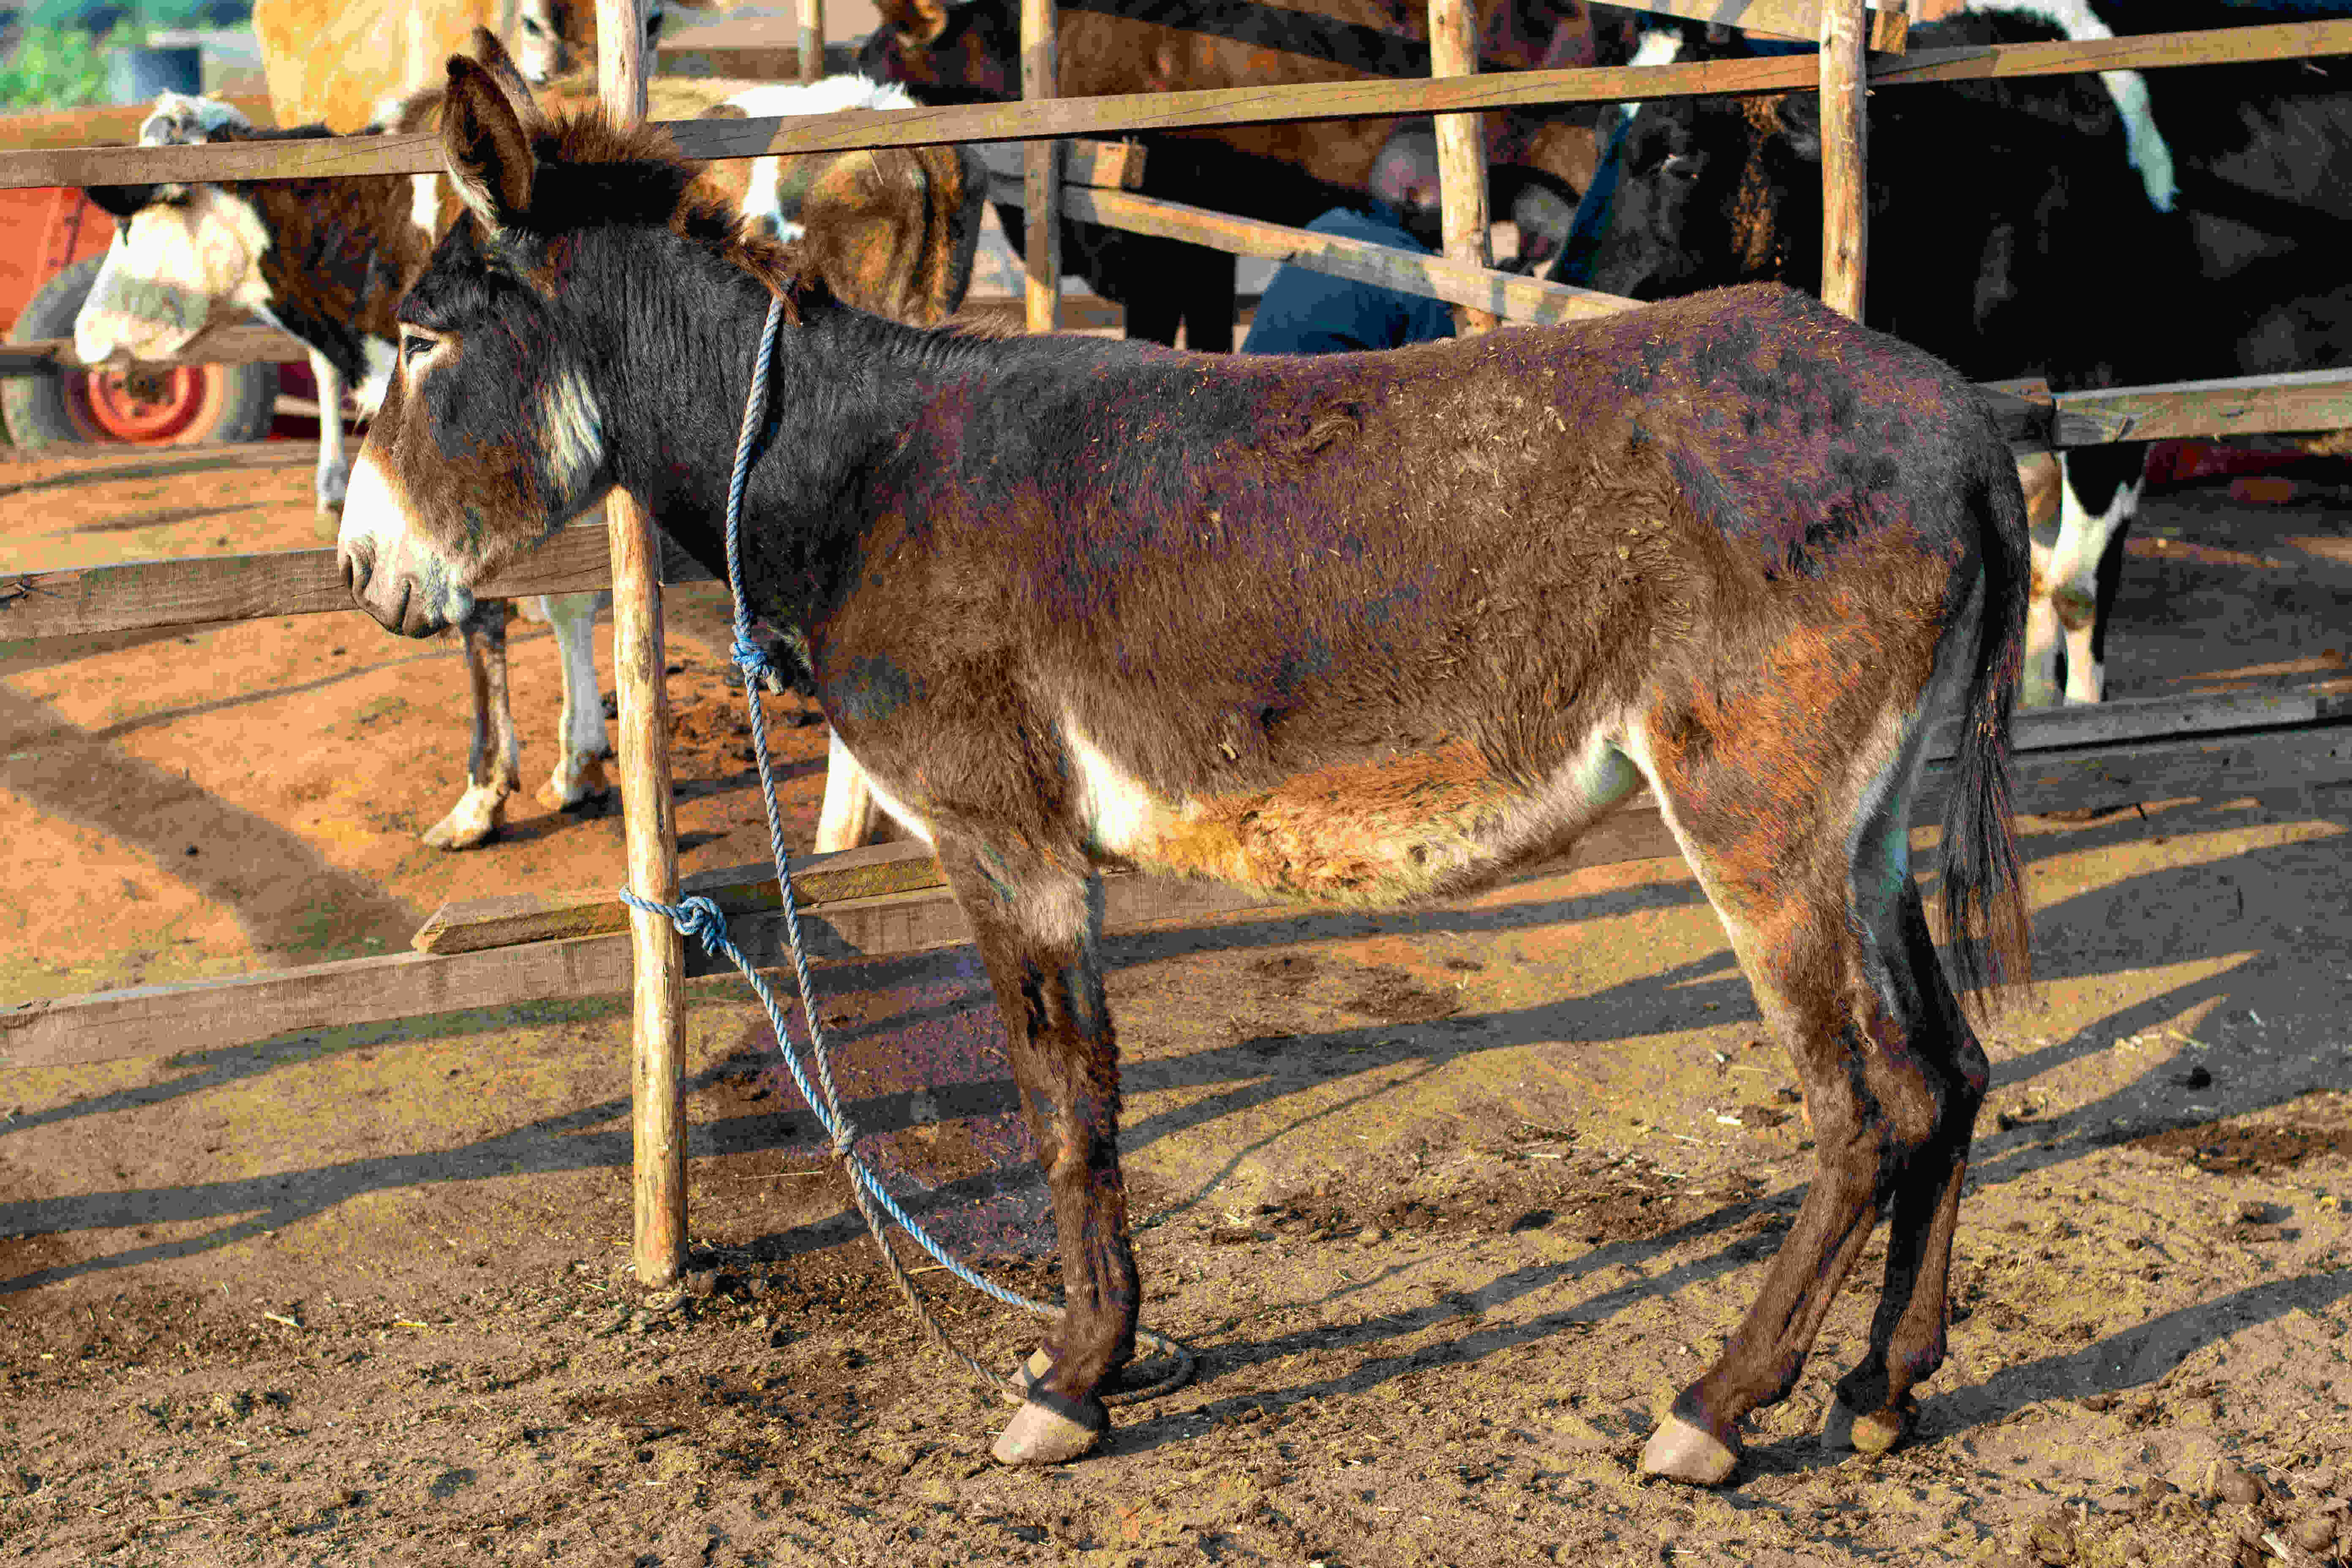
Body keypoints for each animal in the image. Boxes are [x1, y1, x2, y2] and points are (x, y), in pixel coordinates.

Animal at [336, 34, 2042, 1486]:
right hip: (1859, 821)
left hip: (1750, 808)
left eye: (417, 344)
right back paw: (1880, 1387)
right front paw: (1106, 1357)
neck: (842, 466)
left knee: (1862, 1104)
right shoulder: (1040, 849)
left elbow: (1060, 1100)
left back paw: (1715, 1407)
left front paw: (1068, 1381)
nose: (362, 577)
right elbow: (1087, 1090)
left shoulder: (1003, 837)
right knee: (1951, 1072)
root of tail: (1961, 422)